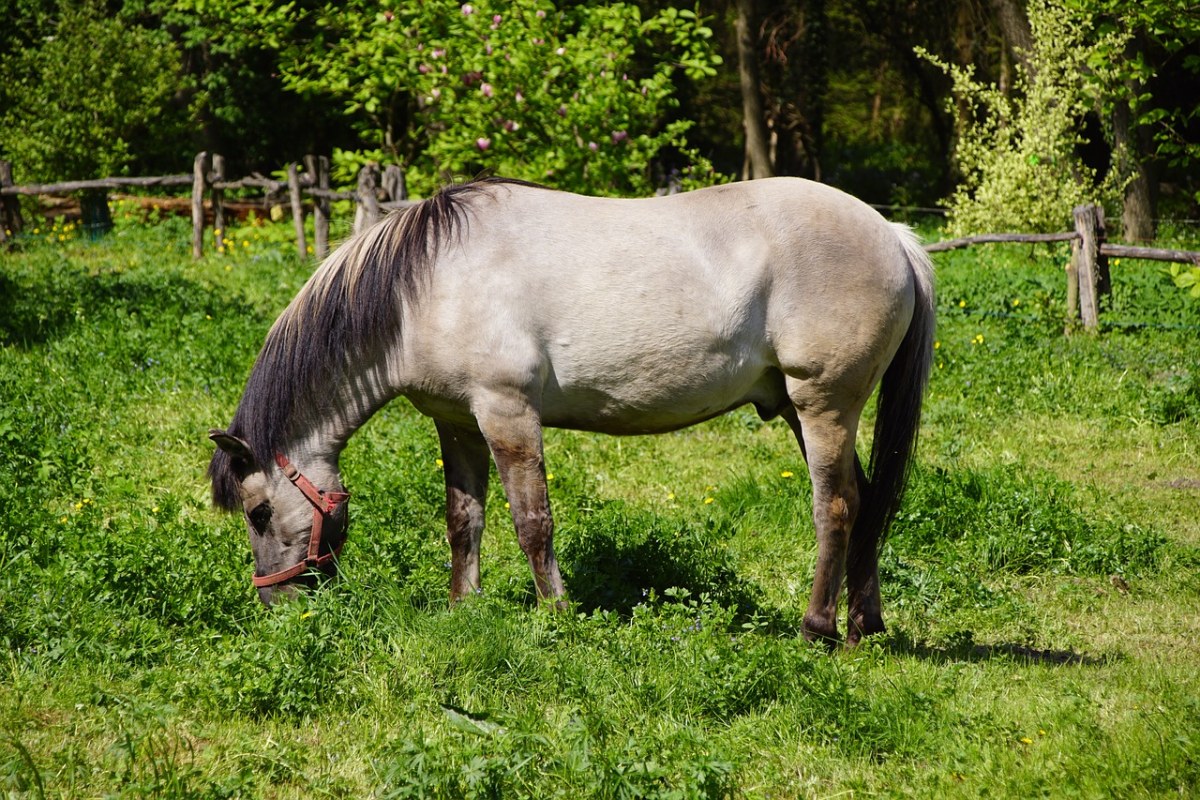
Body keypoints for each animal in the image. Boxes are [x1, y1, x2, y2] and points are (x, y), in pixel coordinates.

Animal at [208, 175, 936, 642]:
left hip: (823, 404)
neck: (426, 284)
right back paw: (864, 624)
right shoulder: (458, 423)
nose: (274, 601)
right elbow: (463, 521)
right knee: (868, 500)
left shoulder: (507, 413)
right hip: (799, 408)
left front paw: (555, 615)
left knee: (835, 505)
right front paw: (463, 609)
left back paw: (817, 628)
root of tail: (894, 235)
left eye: (259, 511)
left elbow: (533, 522)